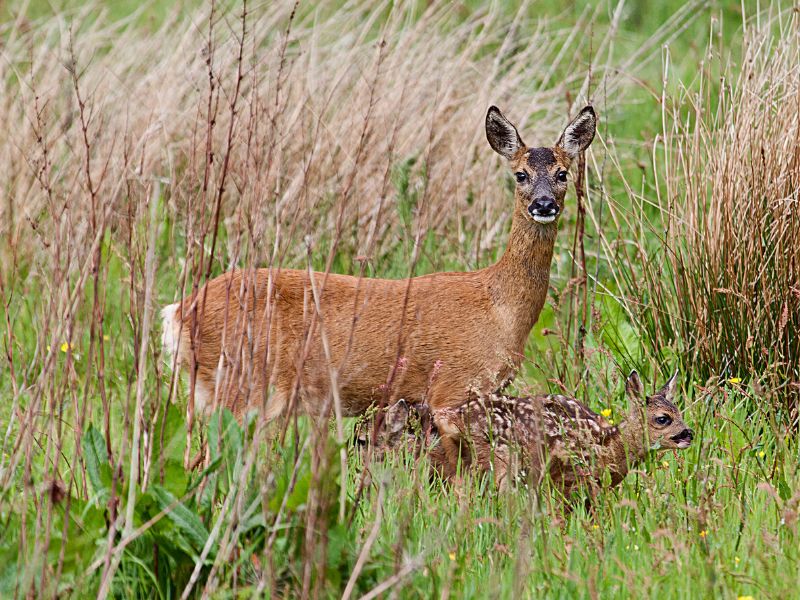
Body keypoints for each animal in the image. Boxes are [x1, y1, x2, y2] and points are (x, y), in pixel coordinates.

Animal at [161, 106, 597, 424]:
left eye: (562, 173)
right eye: (520, 174)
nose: (544, 204)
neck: (501, 309)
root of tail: (179, 311)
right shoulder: (450, 389)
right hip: (242, 382)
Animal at [430, 371, 694, 498]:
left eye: (679, 412)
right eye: (663, 419)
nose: (689, 433)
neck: (607, 446)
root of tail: (452, 416)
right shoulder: (567, 478)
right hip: (501, 458)